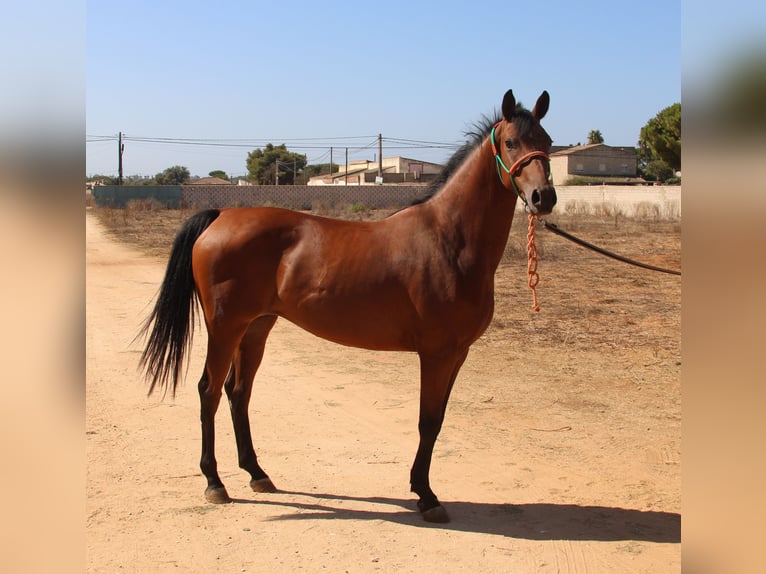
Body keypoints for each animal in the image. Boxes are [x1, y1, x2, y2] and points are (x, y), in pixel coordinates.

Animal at [140, 89, 560, 520]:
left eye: (547, 142)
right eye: (510, 142)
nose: (543, 197)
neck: (448, 239)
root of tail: (220, 215)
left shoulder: (457, 354)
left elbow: (438, 420)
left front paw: (421, 488)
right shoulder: (437, 354)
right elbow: (427, 422)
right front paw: (427, 496)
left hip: (256, 326)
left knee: (238, 393)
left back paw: (257, 474)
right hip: (225, 327)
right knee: (208, 391)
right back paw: (214, 482)